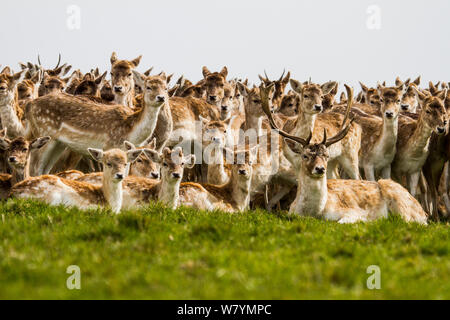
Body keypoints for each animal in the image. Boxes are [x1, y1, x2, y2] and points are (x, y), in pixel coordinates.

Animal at [23, 73, 170, 175]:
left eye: (166, 88)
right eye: (148, 87)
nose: (161, 97)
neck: (132, 130)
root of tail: (30, 105)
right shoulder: (110, 145)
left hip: (59, 143)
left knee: (44, 170)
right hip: (43, 133)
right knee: (35, 168)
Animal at [264, 96, 428, 224]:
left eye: (326, 155)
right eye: (305, 155)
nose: (320, 169)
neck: (313, 212)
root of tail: (422, 211)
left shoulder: (352, 211)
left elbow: (342, 222)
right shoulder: (291, 213)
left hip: (399, 202)